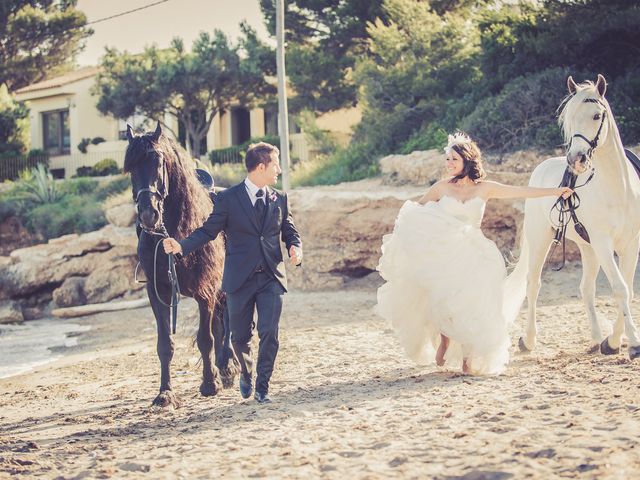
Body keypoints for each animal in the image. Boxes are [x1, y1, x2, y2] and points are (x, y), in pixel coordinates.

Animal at [123, 122, 238, 406]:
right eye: (130, 167)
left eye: (158, 161)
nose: (148, 215)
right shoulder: (158, 292)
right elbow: (165, 344)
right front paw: (165, 393)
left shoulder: (204, 291)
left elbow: (205, 338)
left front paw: (209, 384)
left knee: (228, 323)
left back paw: (227, 366)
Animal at [508, 74, 640, 360]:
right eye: (568, 119)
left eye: (596, 115)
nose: (576, 159)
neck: (618, 189)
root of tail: (540, 168)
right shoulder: (604, 243)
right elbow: (620, 288)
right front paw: (631, 343)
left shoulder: (630, 245)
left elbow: (627, 288)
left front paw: (612, 342)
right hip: (541, 240)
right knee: (533, 284)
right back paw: (528, 340)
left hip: (588, 248)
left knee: (586, 288)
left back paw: (596, 339)